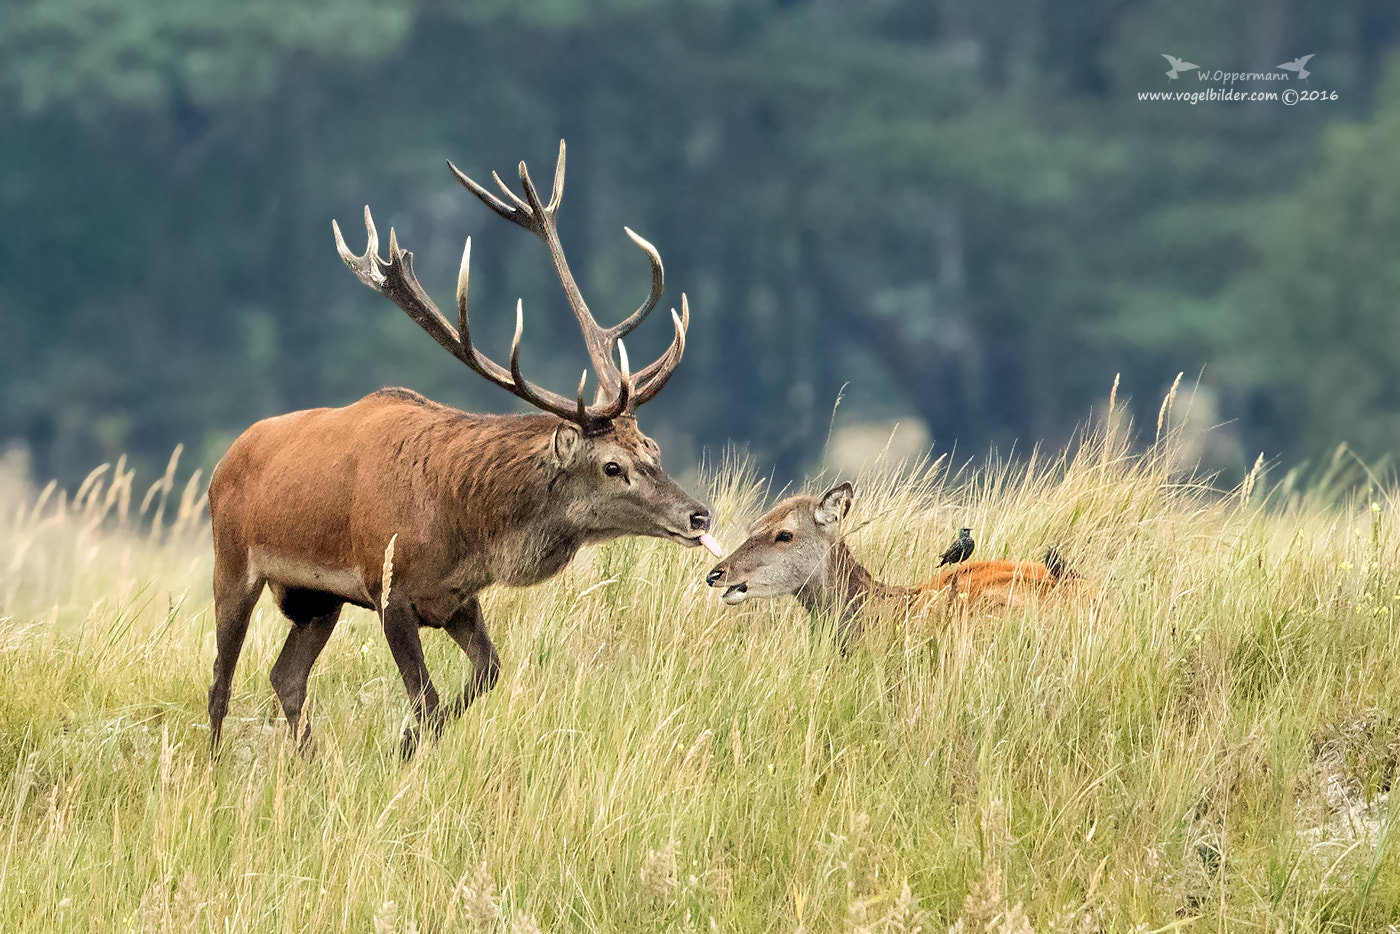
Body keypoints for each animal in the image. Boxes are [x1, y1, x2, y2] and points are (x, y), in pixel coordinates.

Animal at [207, 147, 722, 761]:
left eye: (654, 448)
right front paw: (403, 748)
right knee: (221, 681)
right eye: (611, 466)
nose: (699, 515)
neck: (467, 528)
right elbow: (427, 700)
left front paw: (404, 743)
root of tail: (226, 459)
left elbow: (487, 674)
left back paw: (309, 763)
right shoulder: (390, 588)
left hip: (317, 599)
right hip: (232, 561)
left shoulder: (457, 598)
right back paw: (213, 766)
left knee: (286, 676)